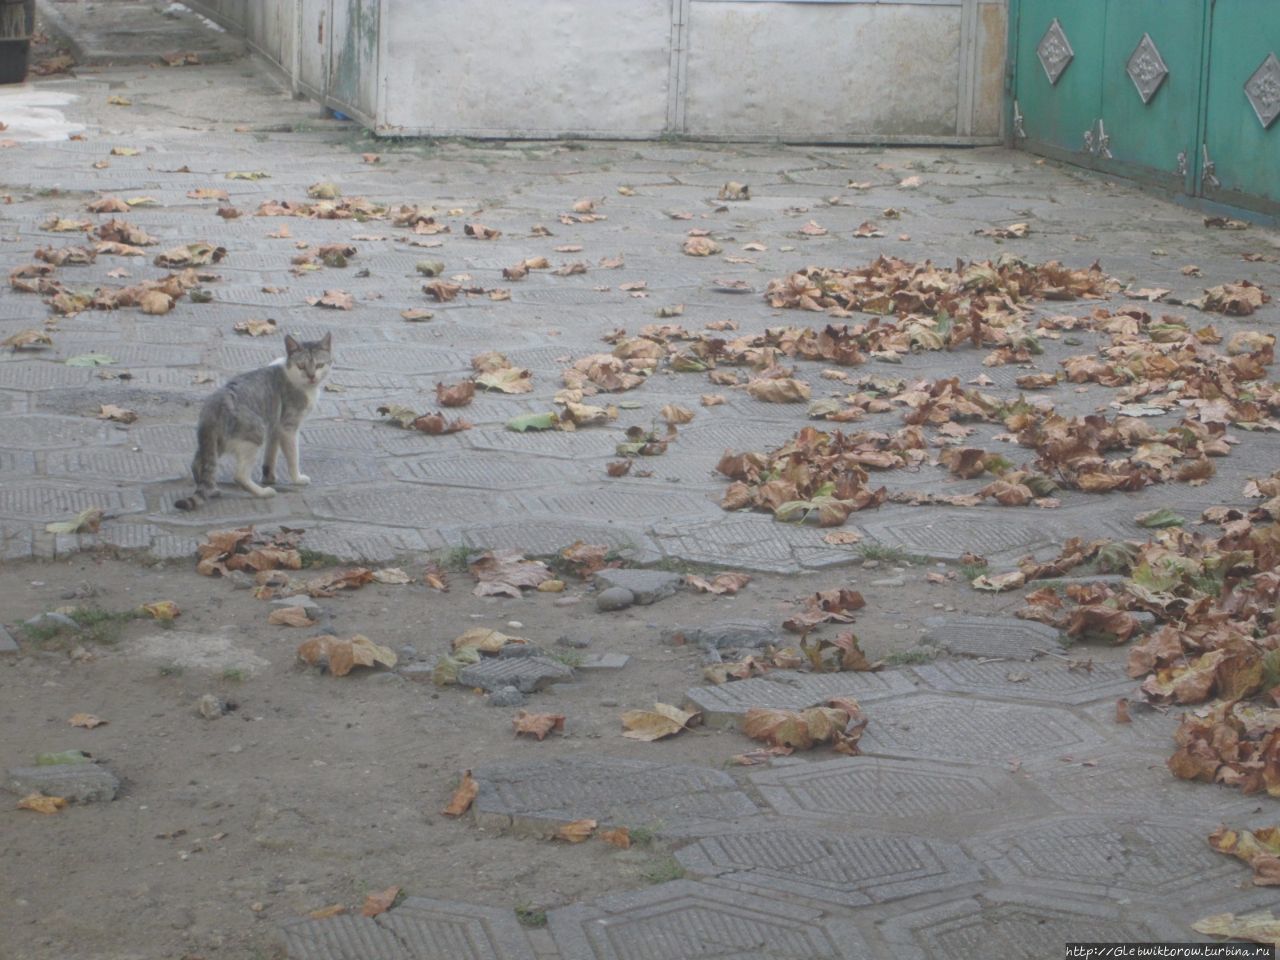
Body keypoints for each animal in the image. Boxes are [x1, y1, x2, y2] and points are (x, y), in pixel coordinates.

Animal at [172, 332, 332, 512]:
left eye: (319, 365)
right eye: (301, 366)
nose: (312, 376)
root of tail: (215, 404)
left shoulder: (274, 426)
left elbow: (271, 454)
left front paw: (269, 476)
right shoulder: (287, 427)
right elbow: (293, 456)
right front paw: (297, 478)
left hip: (216, 443)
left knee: (199, 463)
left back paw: (211, 490)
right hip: (254, 435)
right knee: (239, 476)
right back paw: (263, 492)